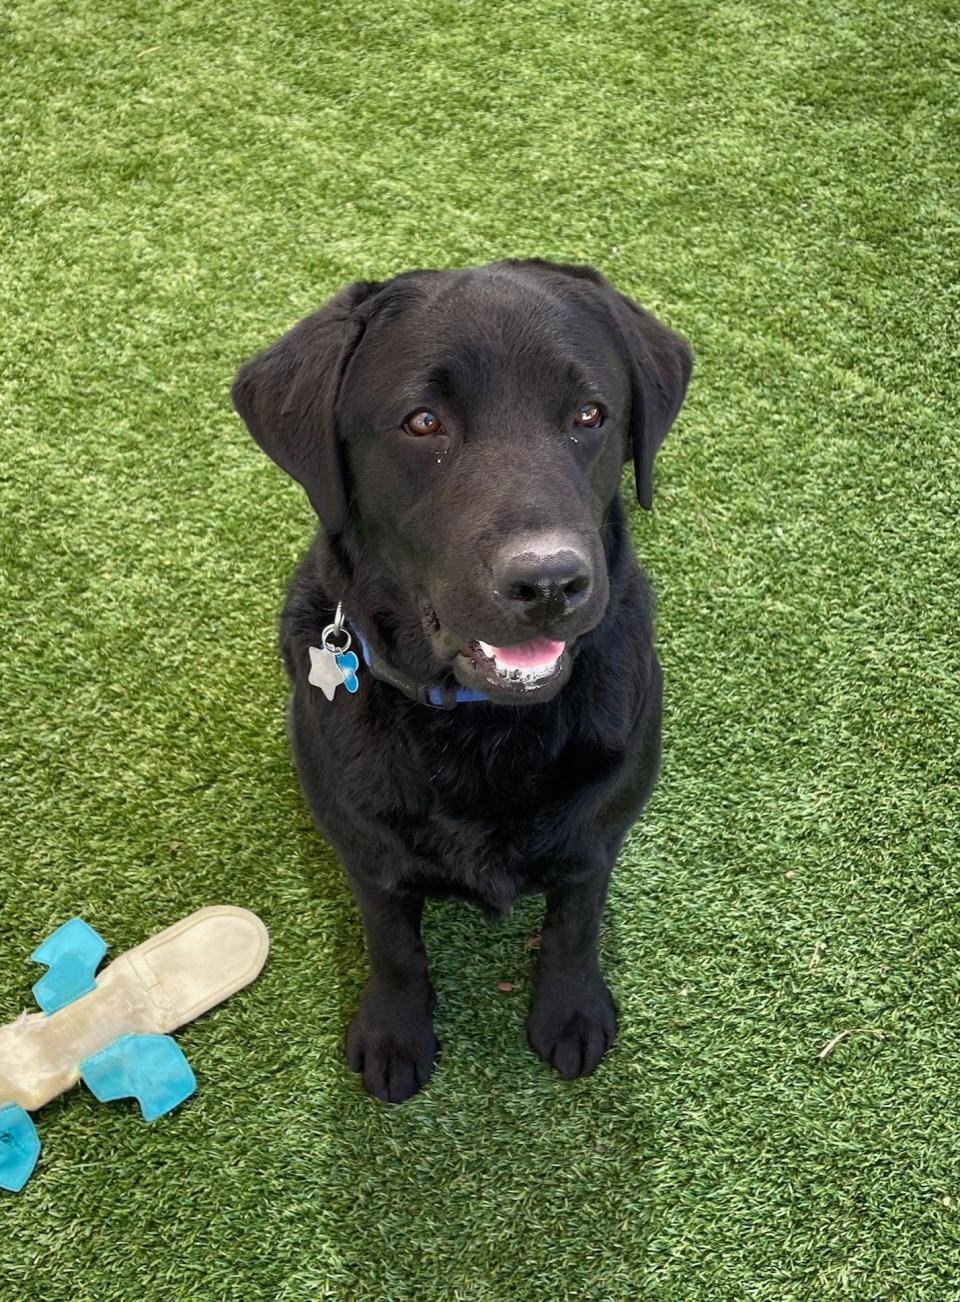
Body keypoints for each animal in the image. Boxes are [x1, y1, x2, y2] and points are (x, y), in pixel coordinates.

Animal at [231, 259, 687, 1104]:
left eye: (589, 414)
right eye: (422, 423)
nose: (550, 581)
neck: (483, 726)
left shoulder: (598, 834)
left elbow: (575, 922)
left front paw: (571, 1010)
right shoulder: (368, 856)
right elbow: (393, 945)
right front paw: (394, 1031)